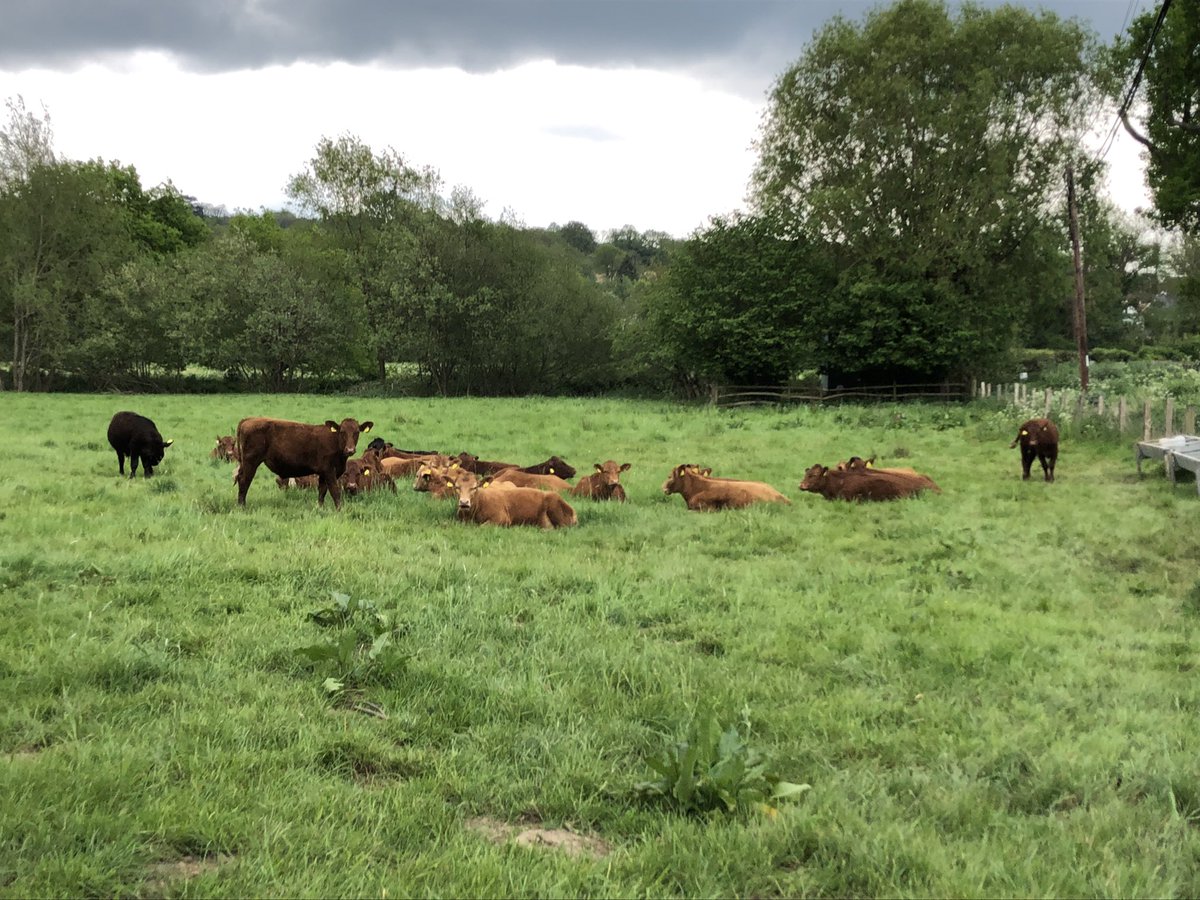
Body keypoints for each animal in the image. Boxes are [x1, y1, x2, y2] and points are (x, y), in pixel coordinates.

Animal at [234, 417, 373, 509]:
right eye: (342, 432)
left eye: (356, 432)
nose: (350, 450)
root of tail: (249, 419)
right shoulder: (329, 471)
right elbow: (335, 491)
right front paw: (339, 509)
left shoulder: (323, 473)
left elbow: (322, 491)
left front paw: (320, 508)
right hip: (251, 462)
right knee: (244, 481)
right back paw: (242, 506)